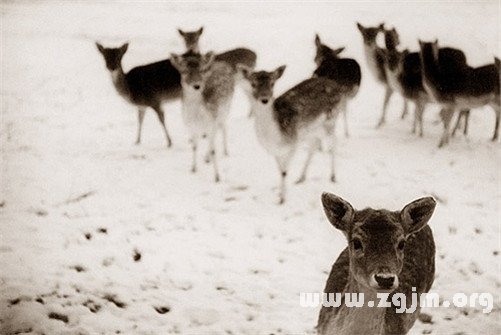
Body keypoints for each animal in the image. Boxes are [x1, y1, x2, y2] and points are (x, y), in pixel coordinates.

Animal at [170, 51, 234, 184]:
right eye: (184, 71)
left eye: (202, 70)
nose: (197, 86)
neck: (197, 116)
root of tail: (223, 63)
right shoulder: (190, 126)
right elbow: (194, 146)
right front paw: (193, 168)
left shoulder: (212, 120)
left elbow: (213, 149)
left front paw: (217, 177)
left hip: (225, 110)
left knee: (223, 127)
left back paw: (224, 151)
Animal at [237, 64, 348, 203]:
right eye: (253, 84)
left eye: (272, 83)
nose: (264, 99)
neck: (276, 137)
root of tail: (337, 85)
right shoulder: (275, 151)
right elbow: (280, 171)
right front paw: (280, 195)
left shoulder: (293, 143)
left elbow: (285, 171)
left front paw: (282, 199)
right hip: (312, 129)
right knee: (314, 145)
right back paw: (301, 177)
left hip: (330, 119)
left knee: (333, 142)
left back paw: (333, 176)